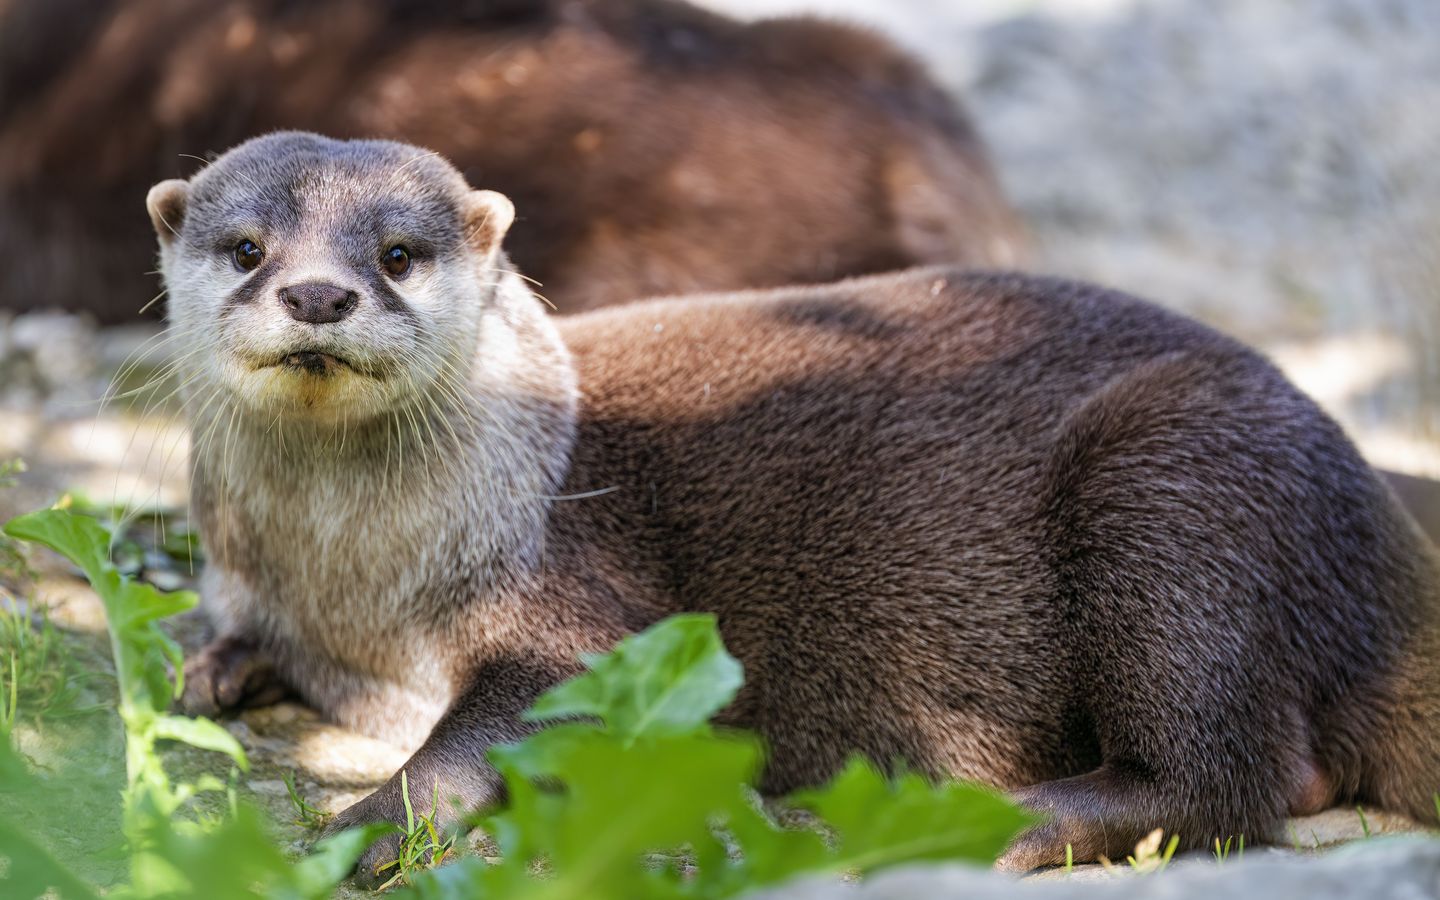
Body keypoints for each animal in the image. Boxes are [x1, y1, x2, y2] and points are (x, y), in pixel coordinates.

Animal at [149, 132, 1440, 879]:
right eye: (247, 247)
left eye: (399, 254)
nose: (319, 293)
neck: (360, 588)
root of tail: (1392, 565)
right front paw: (209, 666)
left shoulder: (574, 585)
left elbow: (514, 720)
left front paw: (357, 827)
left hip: (1181, 485)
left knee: (1230, 783)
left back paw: (974, 822)